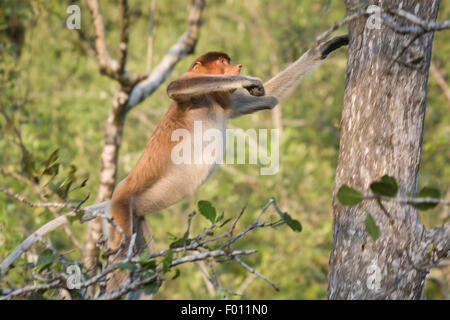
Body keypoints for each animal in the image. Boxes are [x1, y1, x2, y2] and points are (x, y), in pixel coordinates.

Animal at [105, 35, 348, 290]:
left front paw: (324, 48)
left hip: (136, 216)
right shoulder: (192, 93)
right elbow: (174, 86)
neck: (209, 99)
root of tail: (117, 194)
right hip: (121, 210)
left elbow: (268, 100)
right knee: (122, 264)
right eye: (222, 62)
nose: (237, 66)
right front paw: (249, 80)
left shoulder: (223, 101)